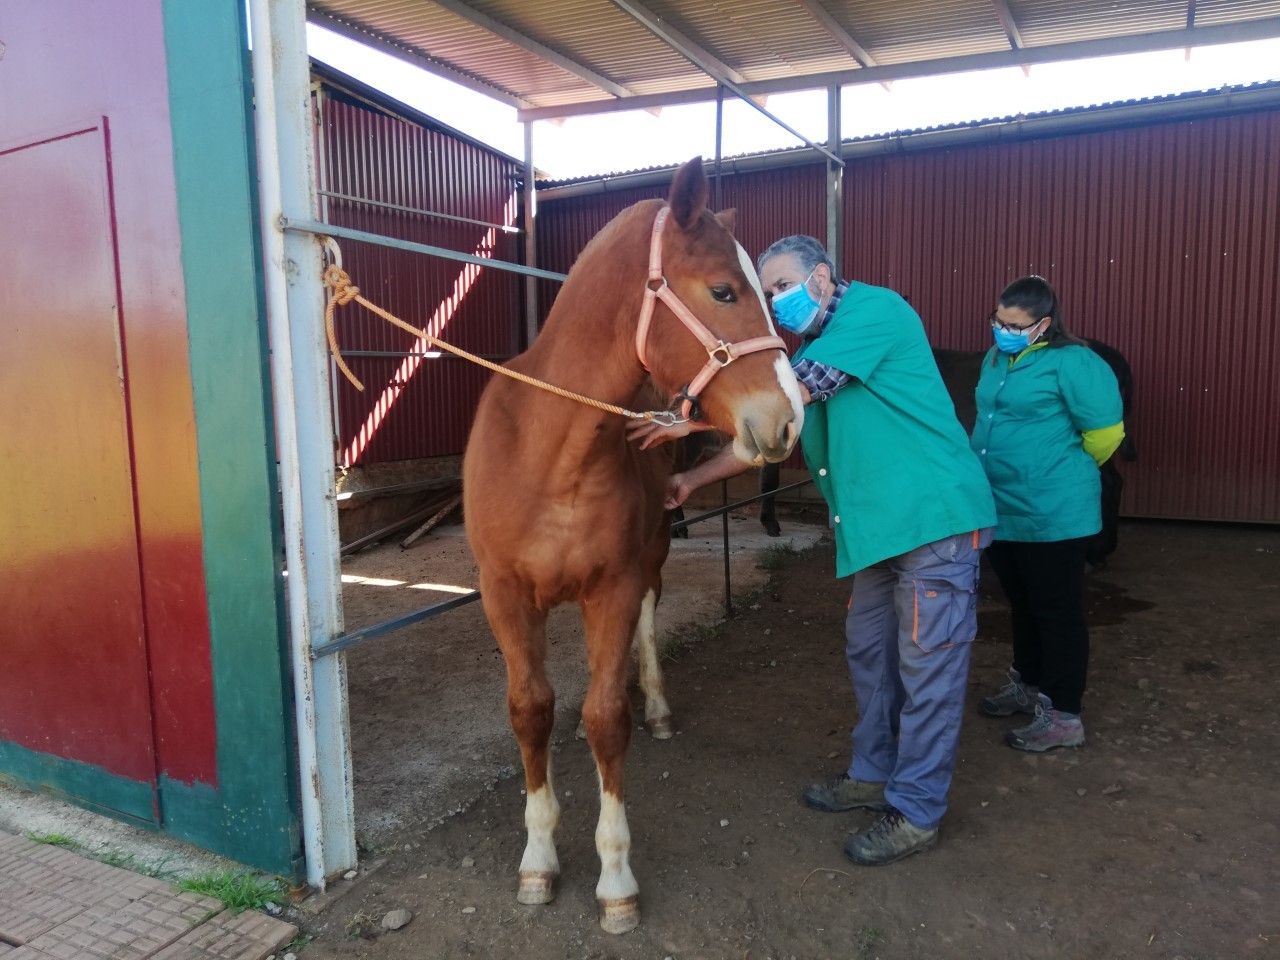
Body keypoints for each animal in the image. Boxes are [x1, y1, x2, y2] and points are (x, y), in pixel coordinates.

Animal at [463, 160, 798, 942]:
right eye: (724, 290)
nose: (788, 418)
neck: (551, 453)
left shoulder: (609, 590)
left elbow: (604, 717)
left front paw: (615, 877)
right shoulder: (504, 594)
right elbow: (531, 710)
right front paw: (537, 861)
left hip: (652, 555)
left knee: (650, 618)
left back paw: (660, 705)